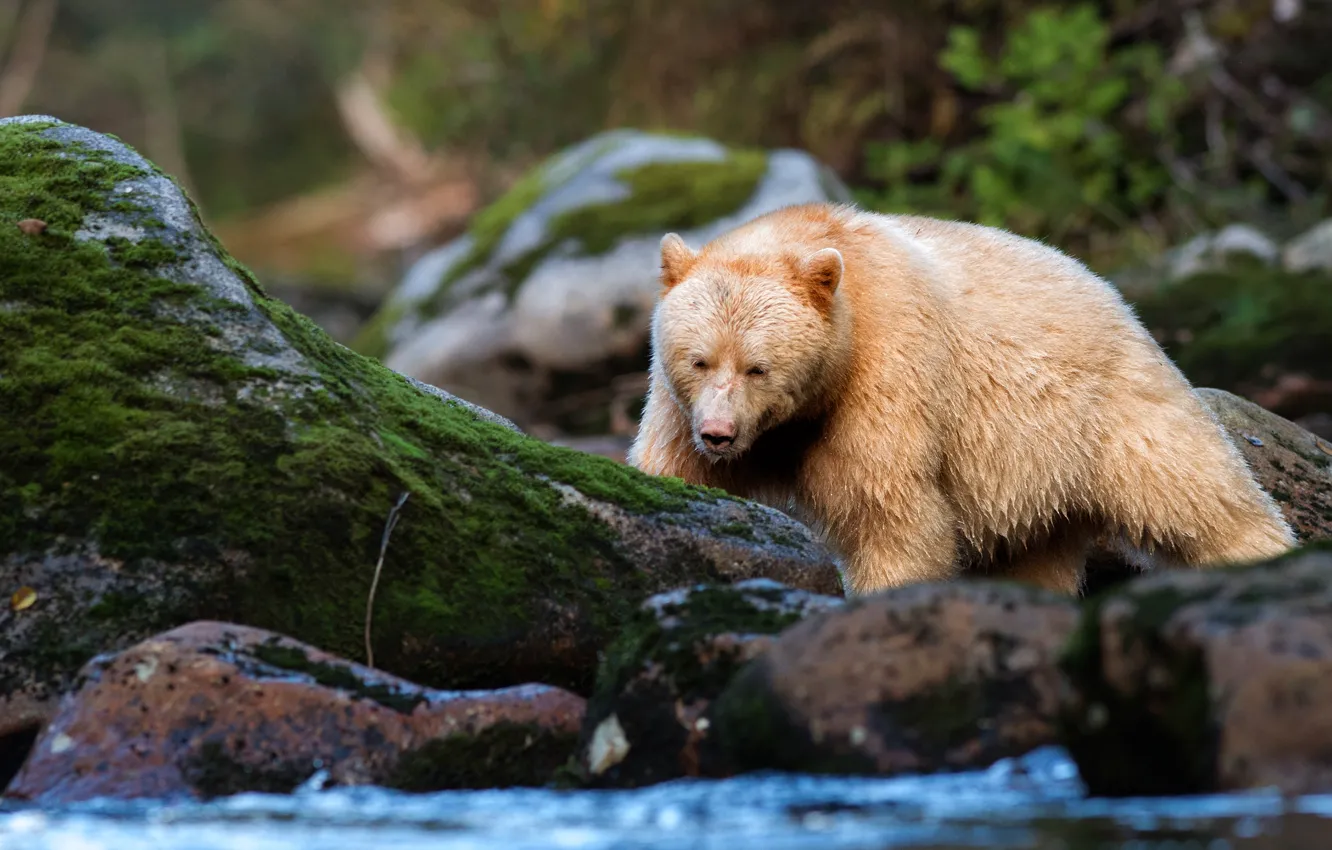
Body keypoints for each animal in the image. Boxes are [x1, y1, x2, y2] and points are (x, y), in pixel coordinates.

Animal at [628, 202, 1297, 596]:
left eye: (758, 367)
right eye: (699, 359)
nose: (719, 434)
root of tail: (1118, 296)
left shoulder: (888, 368)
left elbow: (891, 513)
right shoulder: (676, 408)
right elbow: (668, 469)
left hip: (1112, 411)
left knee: (1197, 497)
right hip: (1028, 477)